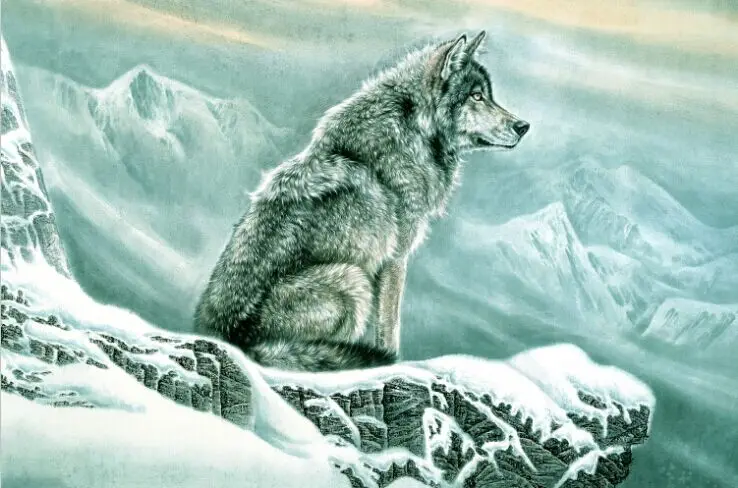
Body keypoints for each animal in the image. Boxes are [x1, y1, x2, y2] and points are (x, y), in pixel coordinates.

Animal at [194, 31, 530, 372]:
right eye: (476, 96)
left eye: (487, 94)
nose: (523, 126)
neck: (414, 132)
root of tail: (234, 341)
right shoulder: (395, 259)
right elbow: (389, 328)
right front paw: (392, 361)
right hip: (353, 280)